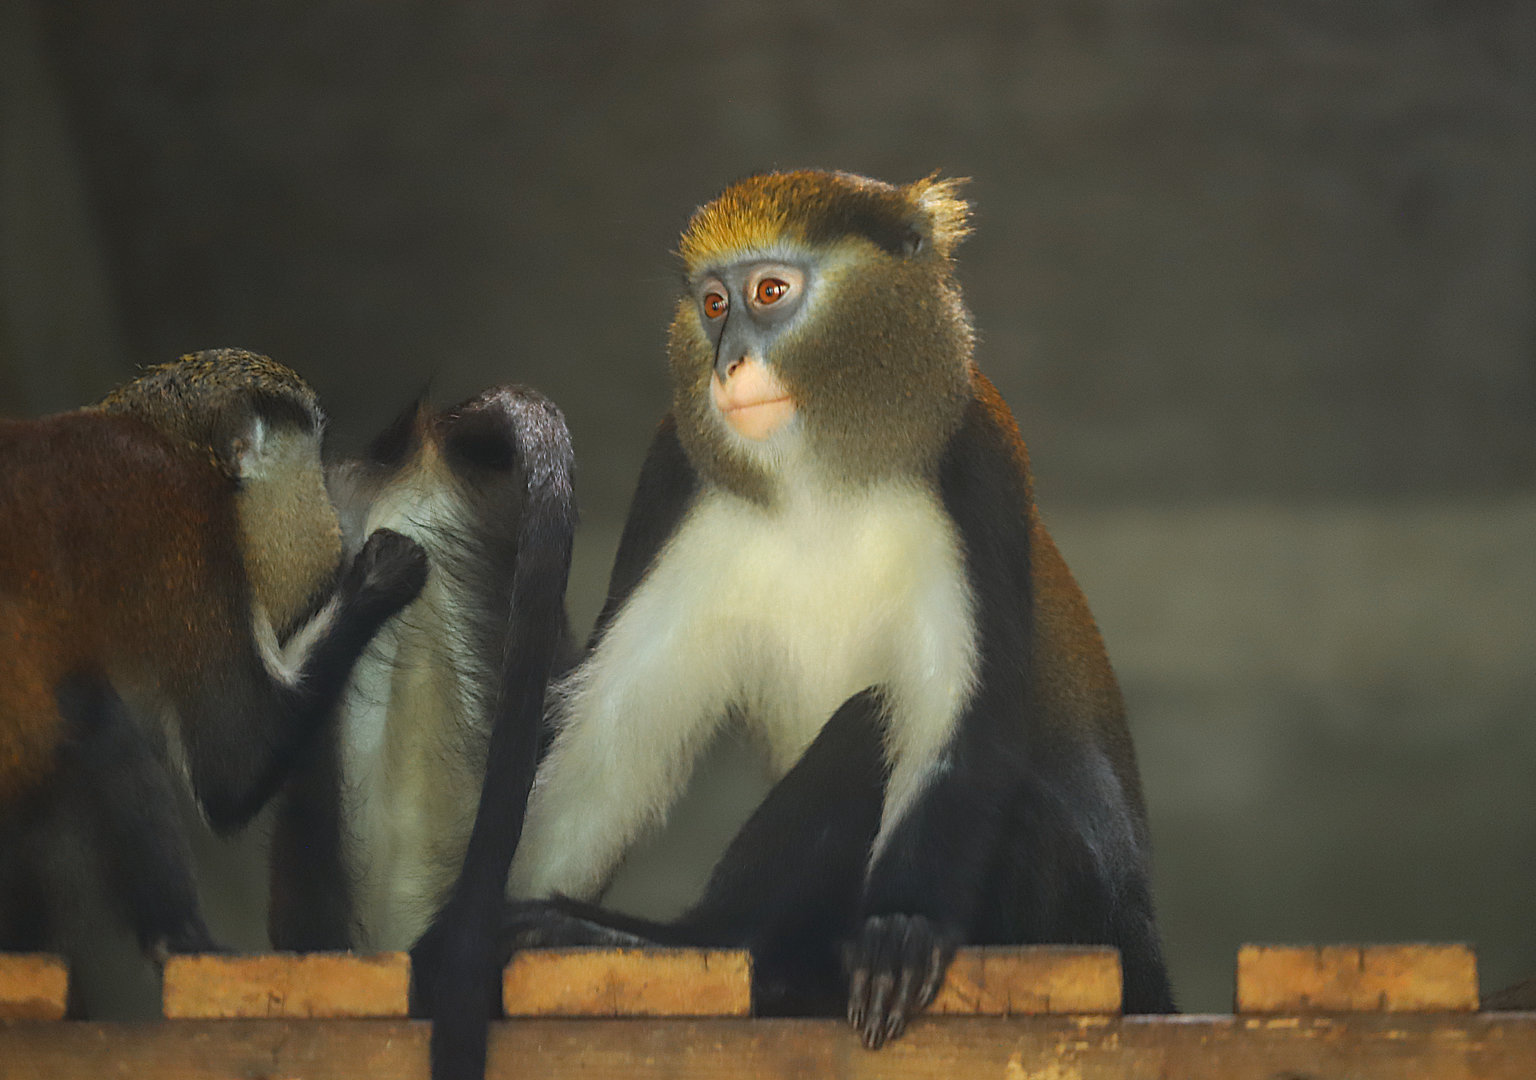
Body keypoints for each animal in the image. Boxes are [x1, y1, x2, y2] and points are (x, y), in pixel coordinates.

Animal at [0, 349, 428, 1000]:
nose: (332, 519)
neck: (180, 451)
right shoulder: (192, 549)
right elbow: (234, 764)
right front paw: (376, 580)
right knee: (93, 722)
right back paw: (180, 941)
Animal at [500, 170, 1176, 1051]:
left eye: (770, 292)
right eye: (713, 305)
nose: (728, 366)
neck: (818, 478)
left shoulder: (978, 460)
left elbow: (957, 718)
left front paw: (902, 930)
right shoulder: (675, 467)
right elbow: (609, 738)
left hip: (1073, 906)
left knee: (870, 722)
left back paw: (701, 943)